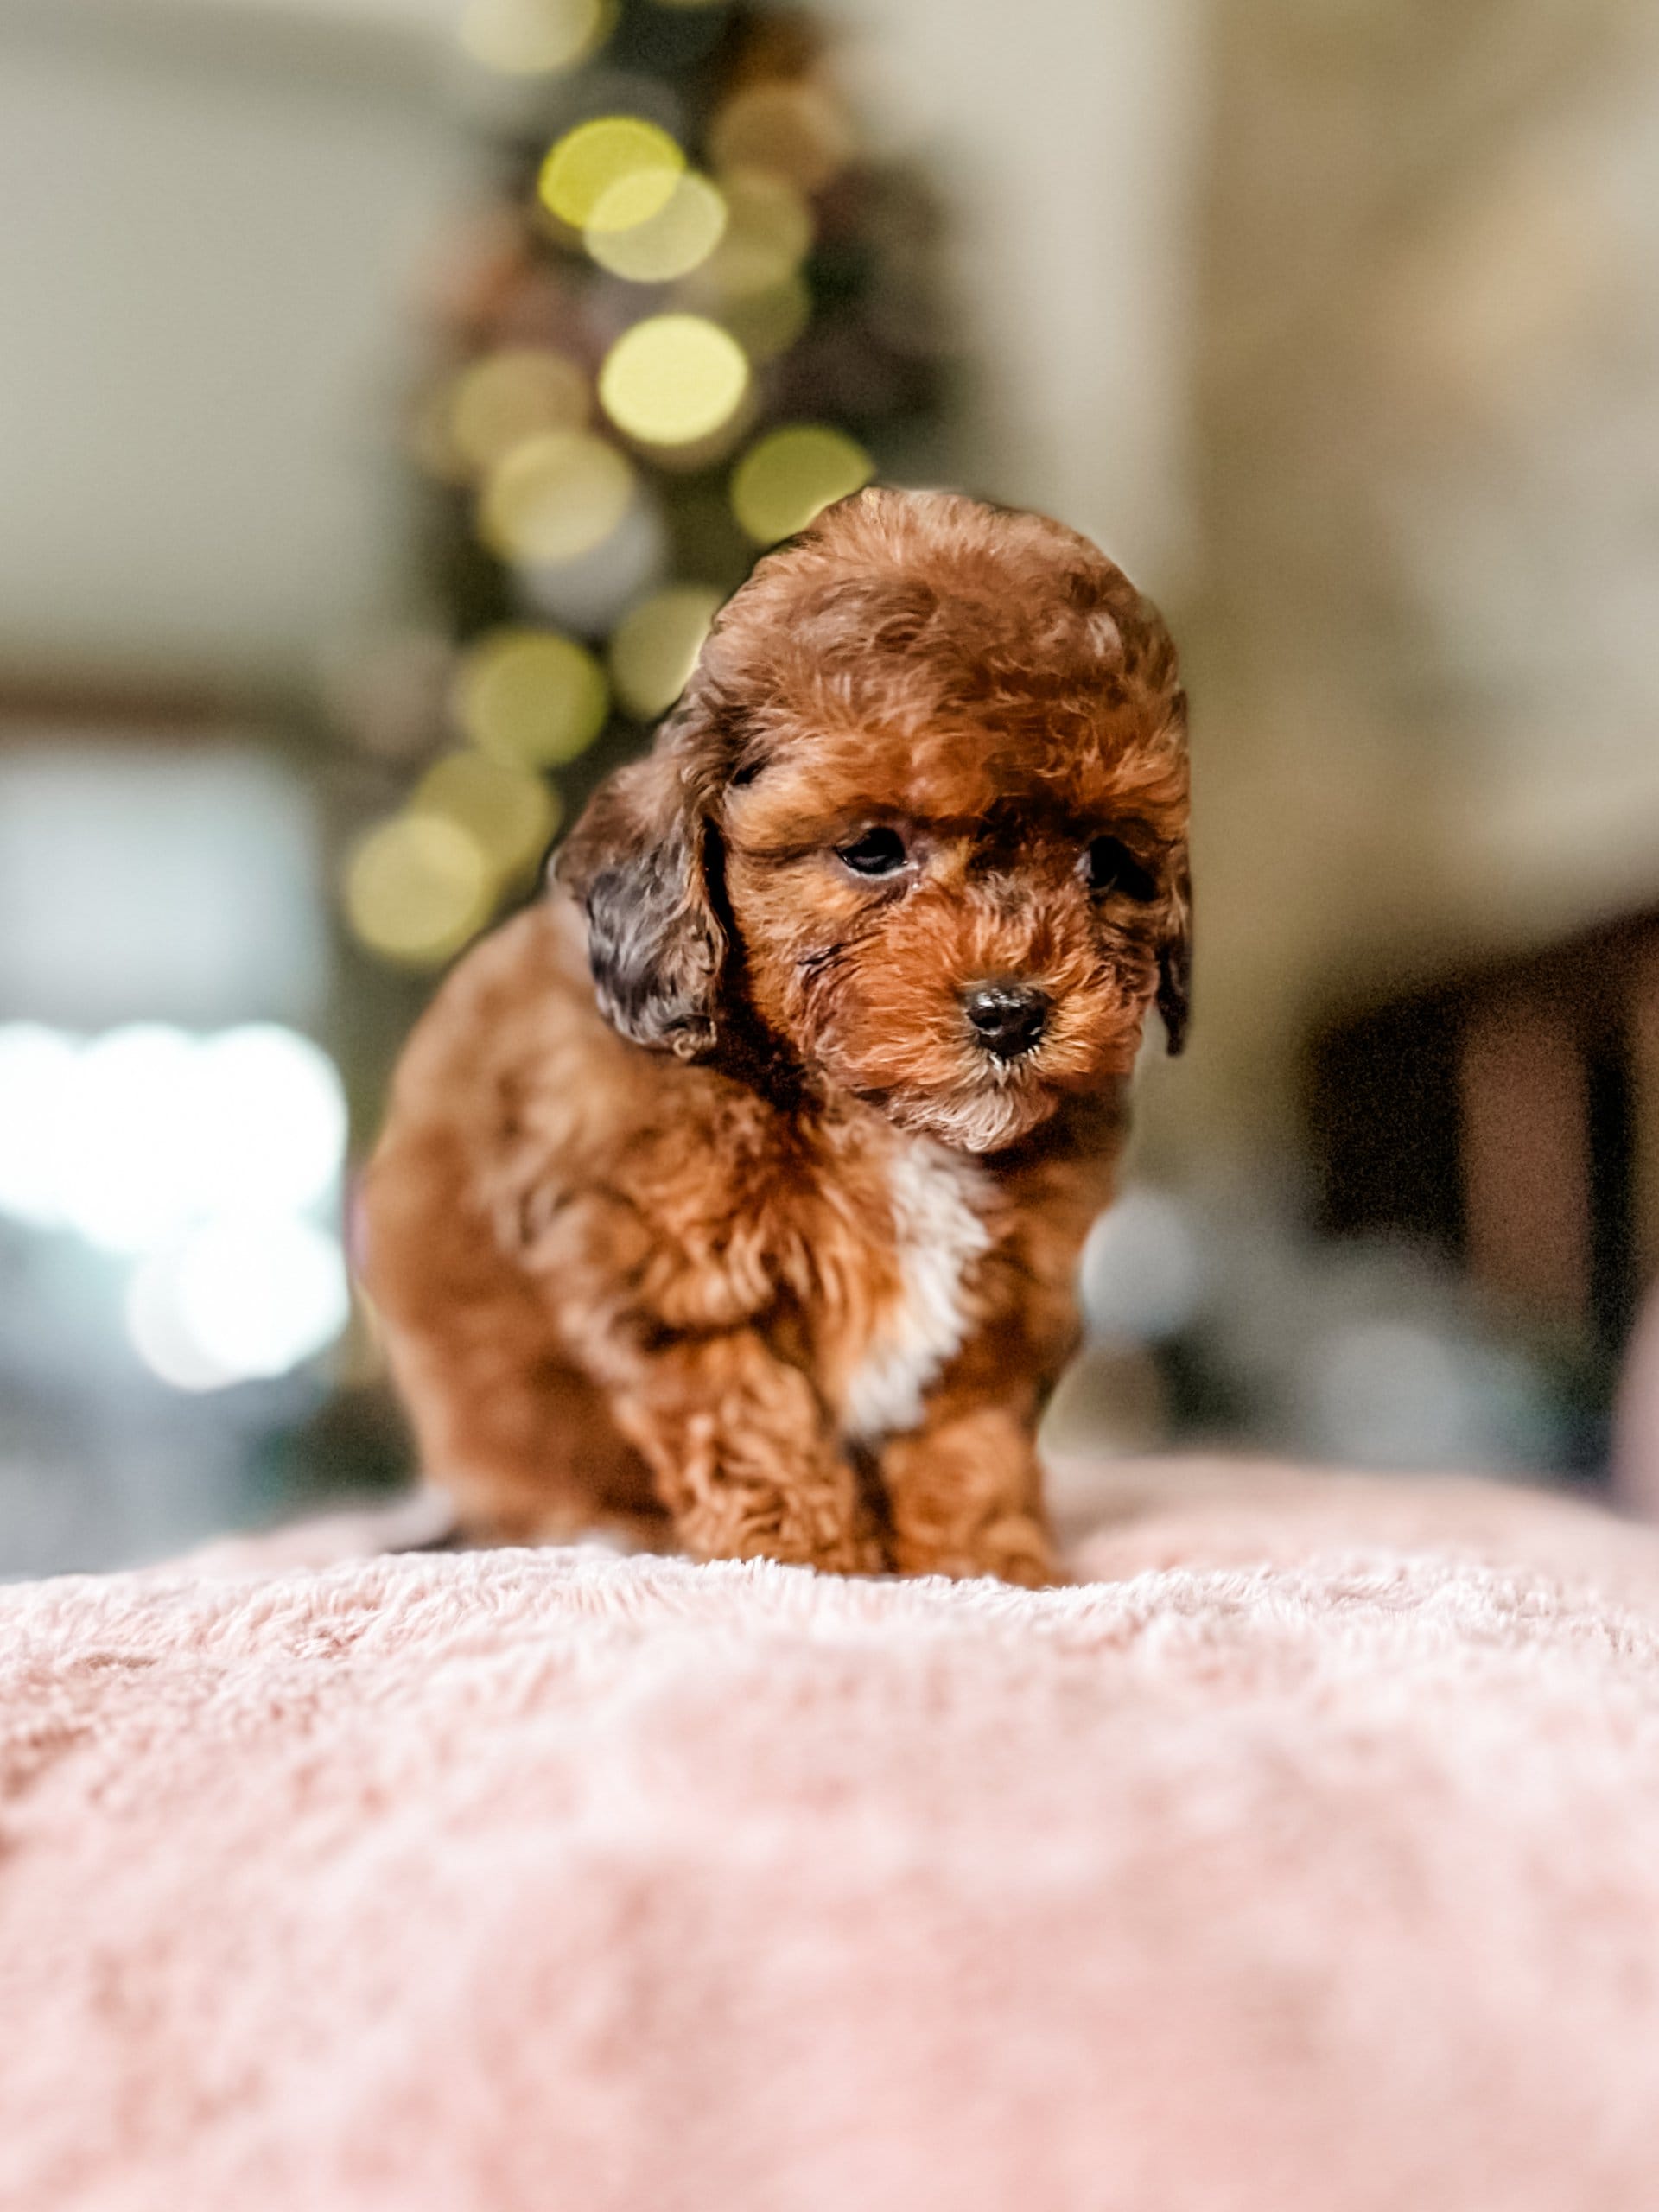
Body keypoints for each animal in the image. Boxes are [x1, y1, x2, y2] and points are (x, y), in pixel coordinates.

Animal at [362, 491, 1194, 1583]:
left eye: (1106, 863)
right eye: (873, 849)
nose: (1012, 1012)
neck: (870, 1118)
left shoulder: (1002, 1298)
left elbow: (968, 1443)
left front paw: (988, 1565)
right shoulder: (680, 1283)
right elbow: (755, 1435)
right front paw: (806, 1567)